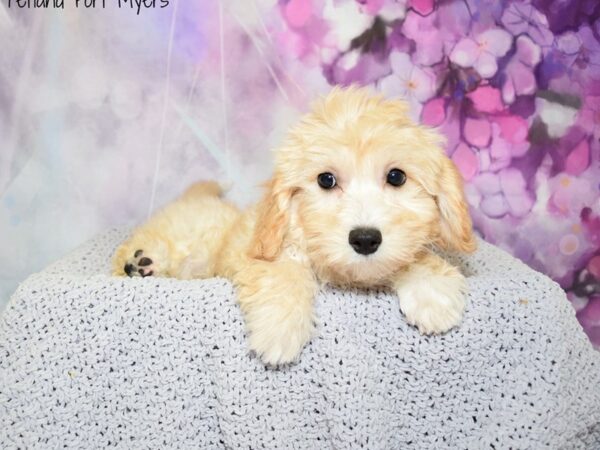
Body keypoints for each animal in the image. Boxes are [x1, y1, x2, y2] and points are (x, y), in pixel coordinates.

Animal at [113, 85, 474, 366]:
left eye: (396, 176)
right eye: (326, 180)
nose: (365, 239)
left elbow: (413, 258)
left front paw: (432, 293)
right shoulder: (261, 254)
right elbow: (281, 274)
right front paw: (279, 329)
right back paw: (140, 263)